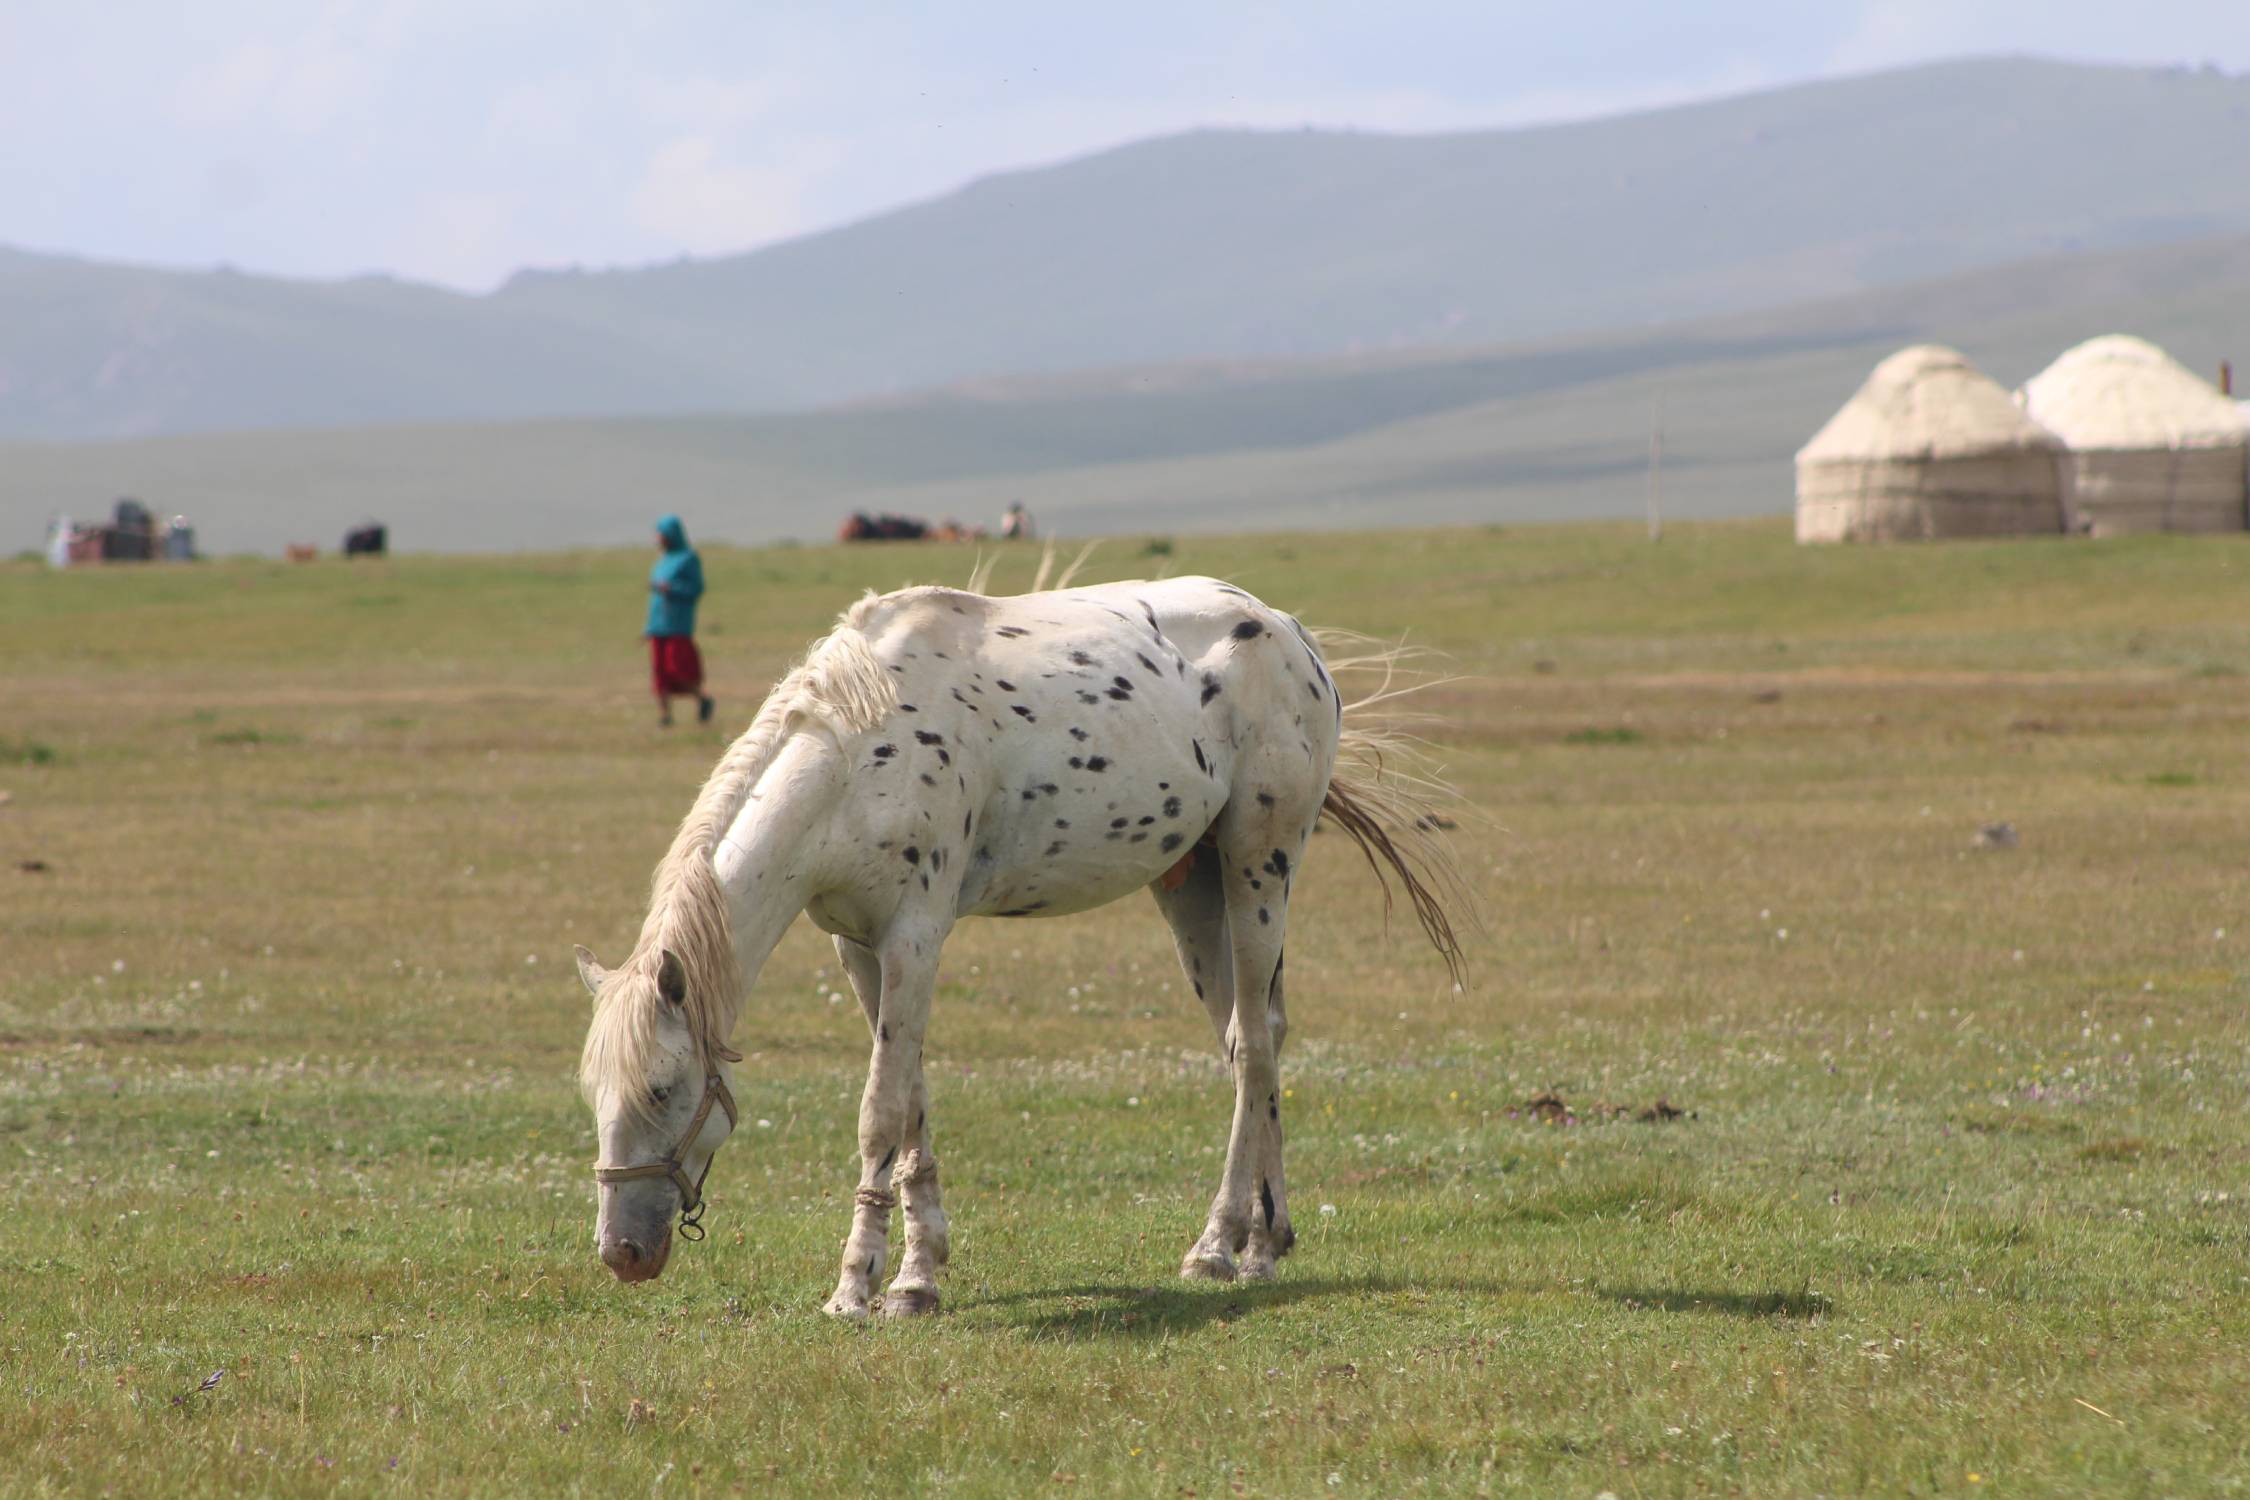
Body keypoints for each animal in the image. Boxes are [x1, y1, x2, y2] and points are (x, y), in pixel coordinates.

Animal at [573, 575, 1467, 1317]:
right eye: (594, 1096)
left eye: (662, 1089)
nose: (621, 1252)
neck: (859, 749)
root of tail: (1287, 630)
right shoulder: (859, 948)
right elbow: (913, 1104)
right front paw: (920, 1274)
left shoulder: (915, 938)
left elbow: (880, 1111)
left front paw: (858, 1287)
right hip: (1191, 886)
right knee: (1257, 1039)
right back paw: (1266, 1236)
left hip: (1260, 869)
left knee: (1251, 1047)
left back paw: (1223, 1251)